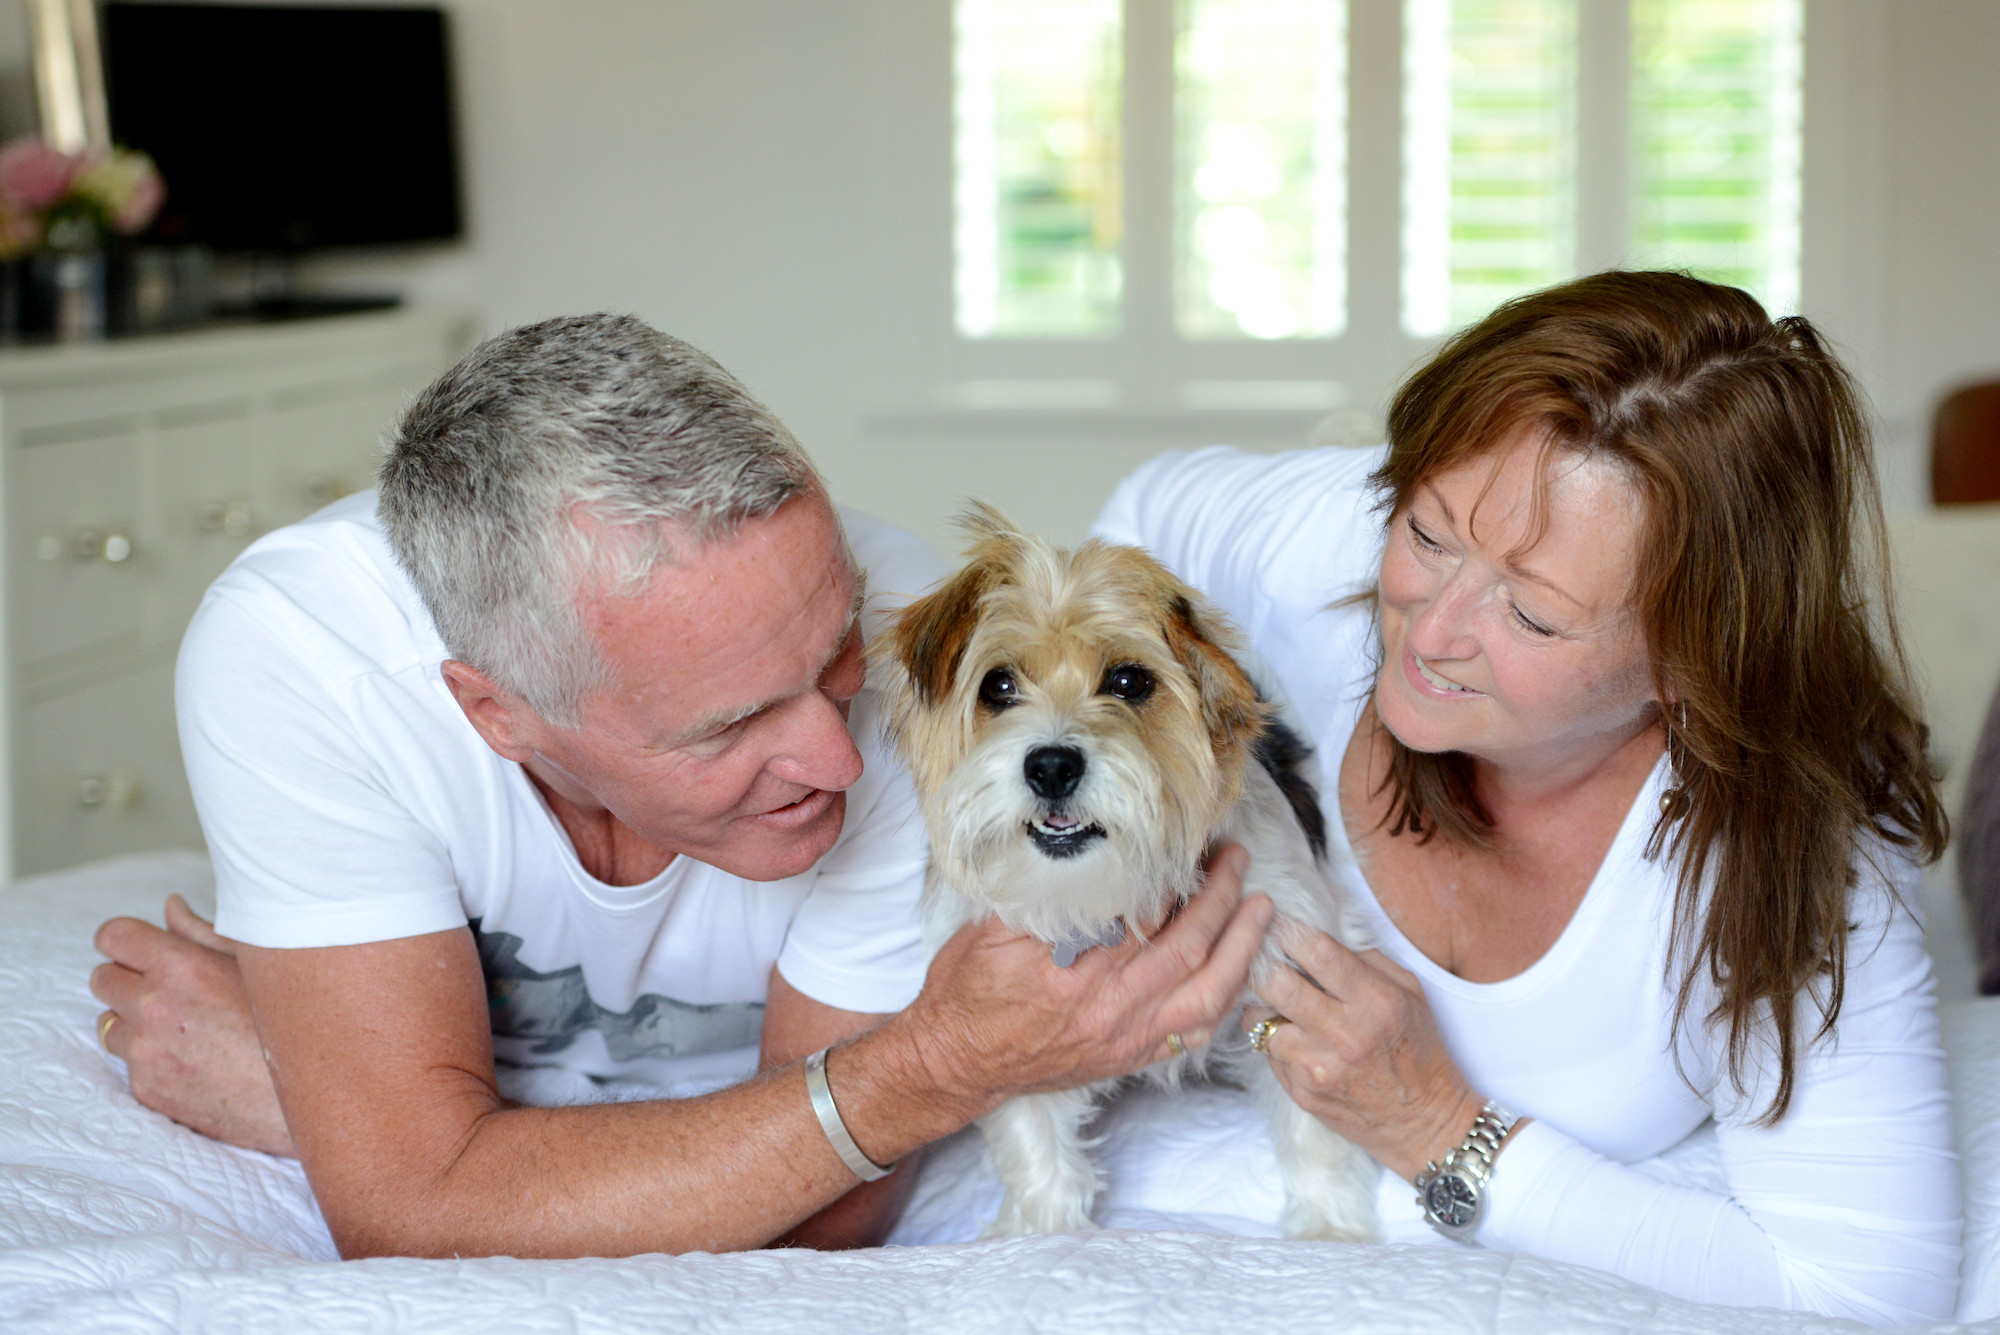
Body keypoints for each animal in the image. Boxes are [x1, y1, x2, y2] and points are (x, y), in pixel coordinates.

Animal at [868, 511, 1384, 1239]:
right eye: (998, 685)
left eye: (1129, 682)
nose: (1052, 765)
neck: (1100, 897)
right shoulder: (1007, 1028)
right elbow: (1031, 1133)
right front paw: (1041, 1229)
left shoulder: (1295, 956)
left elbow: (1314, 1115)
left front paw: (1330, 1229)